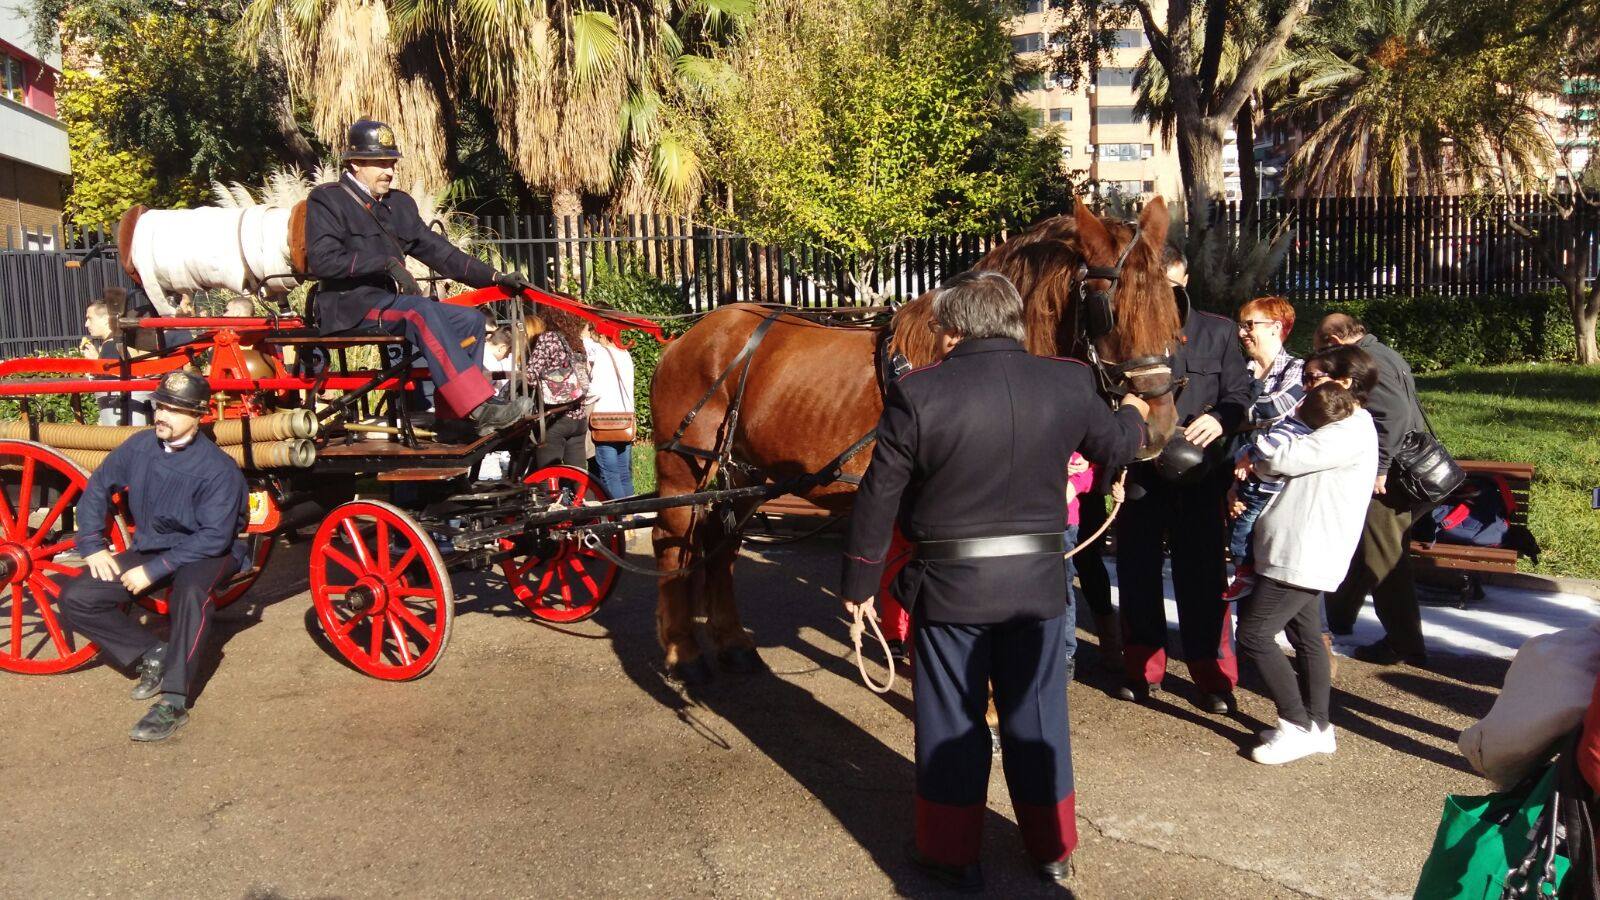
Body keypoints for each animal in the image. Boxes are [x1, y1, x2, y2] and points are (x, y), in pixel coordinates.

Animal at [649, 196, 1190, 679]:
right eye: (1109, 309)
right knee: (671, 544)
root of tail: (690, 336)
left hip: (745, 475)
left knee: (721, 549)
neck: (987, 355)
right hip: (684, 470)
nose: (1158, 426)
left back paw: (734, 644)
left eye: (1170, 308)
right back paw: (682, 653)